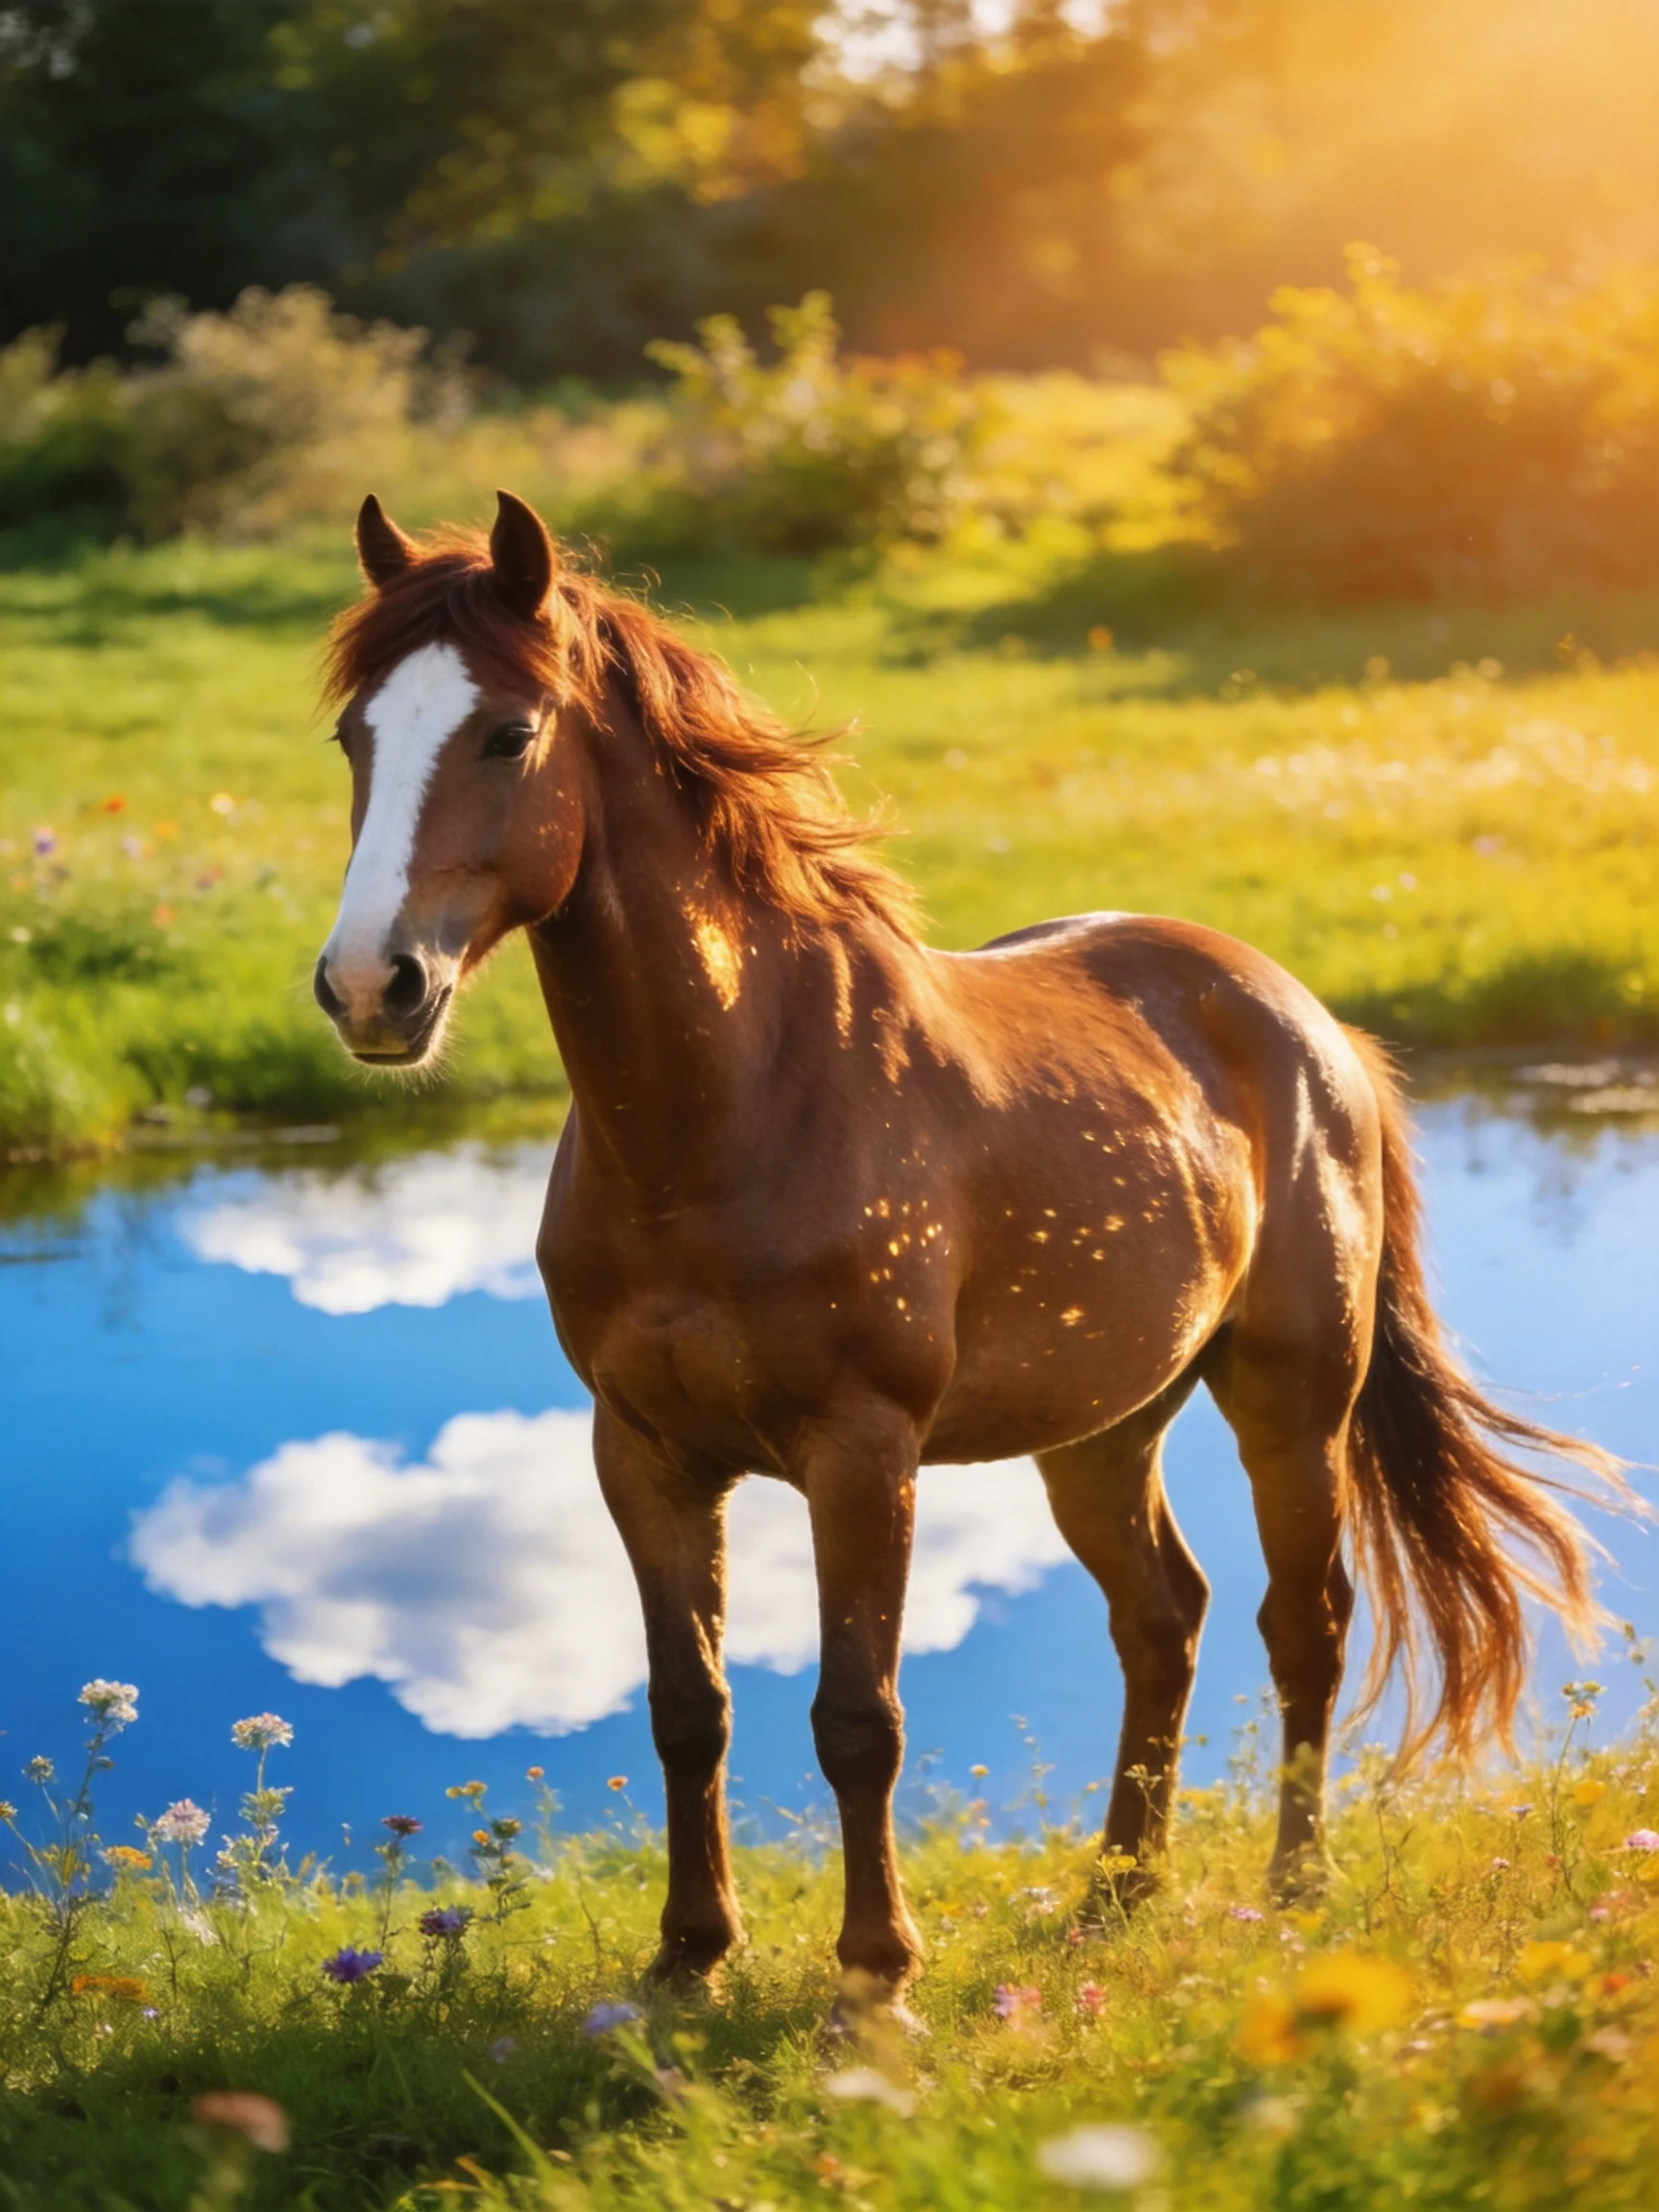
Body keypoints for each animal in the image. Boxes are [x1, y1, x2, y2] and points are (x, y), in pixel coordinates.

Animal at [313, 488, 1619, 1999]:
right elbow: (687, 1707)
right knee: (1162, 1620)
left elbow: (858, 1719)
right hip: (1101, 1430)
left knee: (1308, 1622)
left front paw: (875, 1976)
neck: (734, 1112)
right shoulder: (640, 1453)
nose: (370, 986)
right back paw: (1118, 1890)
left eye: (508, 734)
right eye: (355, 737)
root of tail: (1305, 1019)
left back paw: (1293, 1887)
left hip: (1292, 1405)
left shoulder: (861, 1451)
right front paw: (690, 1958)